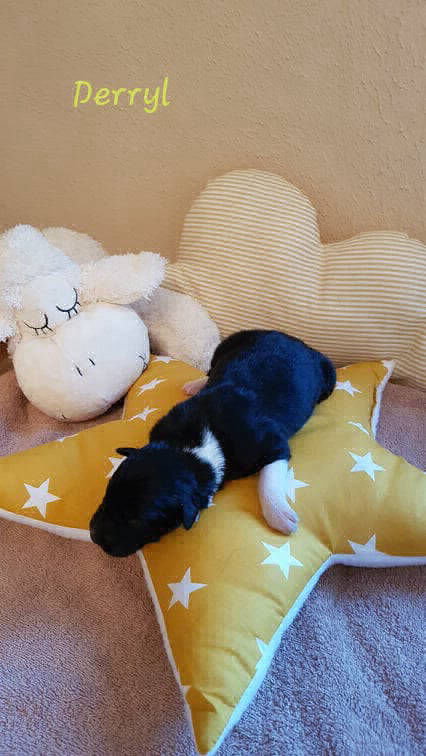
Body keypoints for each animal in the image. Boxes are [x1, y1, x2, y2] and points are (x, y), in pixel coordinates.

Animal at [90, 330, 336, 556]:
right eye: (107, 495)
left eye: (135, 521)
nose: (92, 535)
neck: (189, 448)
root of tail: (295, 340)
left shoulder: (273, 446)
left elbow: (268, 480)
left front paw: (279, 515)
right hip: (225, 345)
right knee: (209, 369)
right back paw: (195, 384)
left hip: (328, 378)